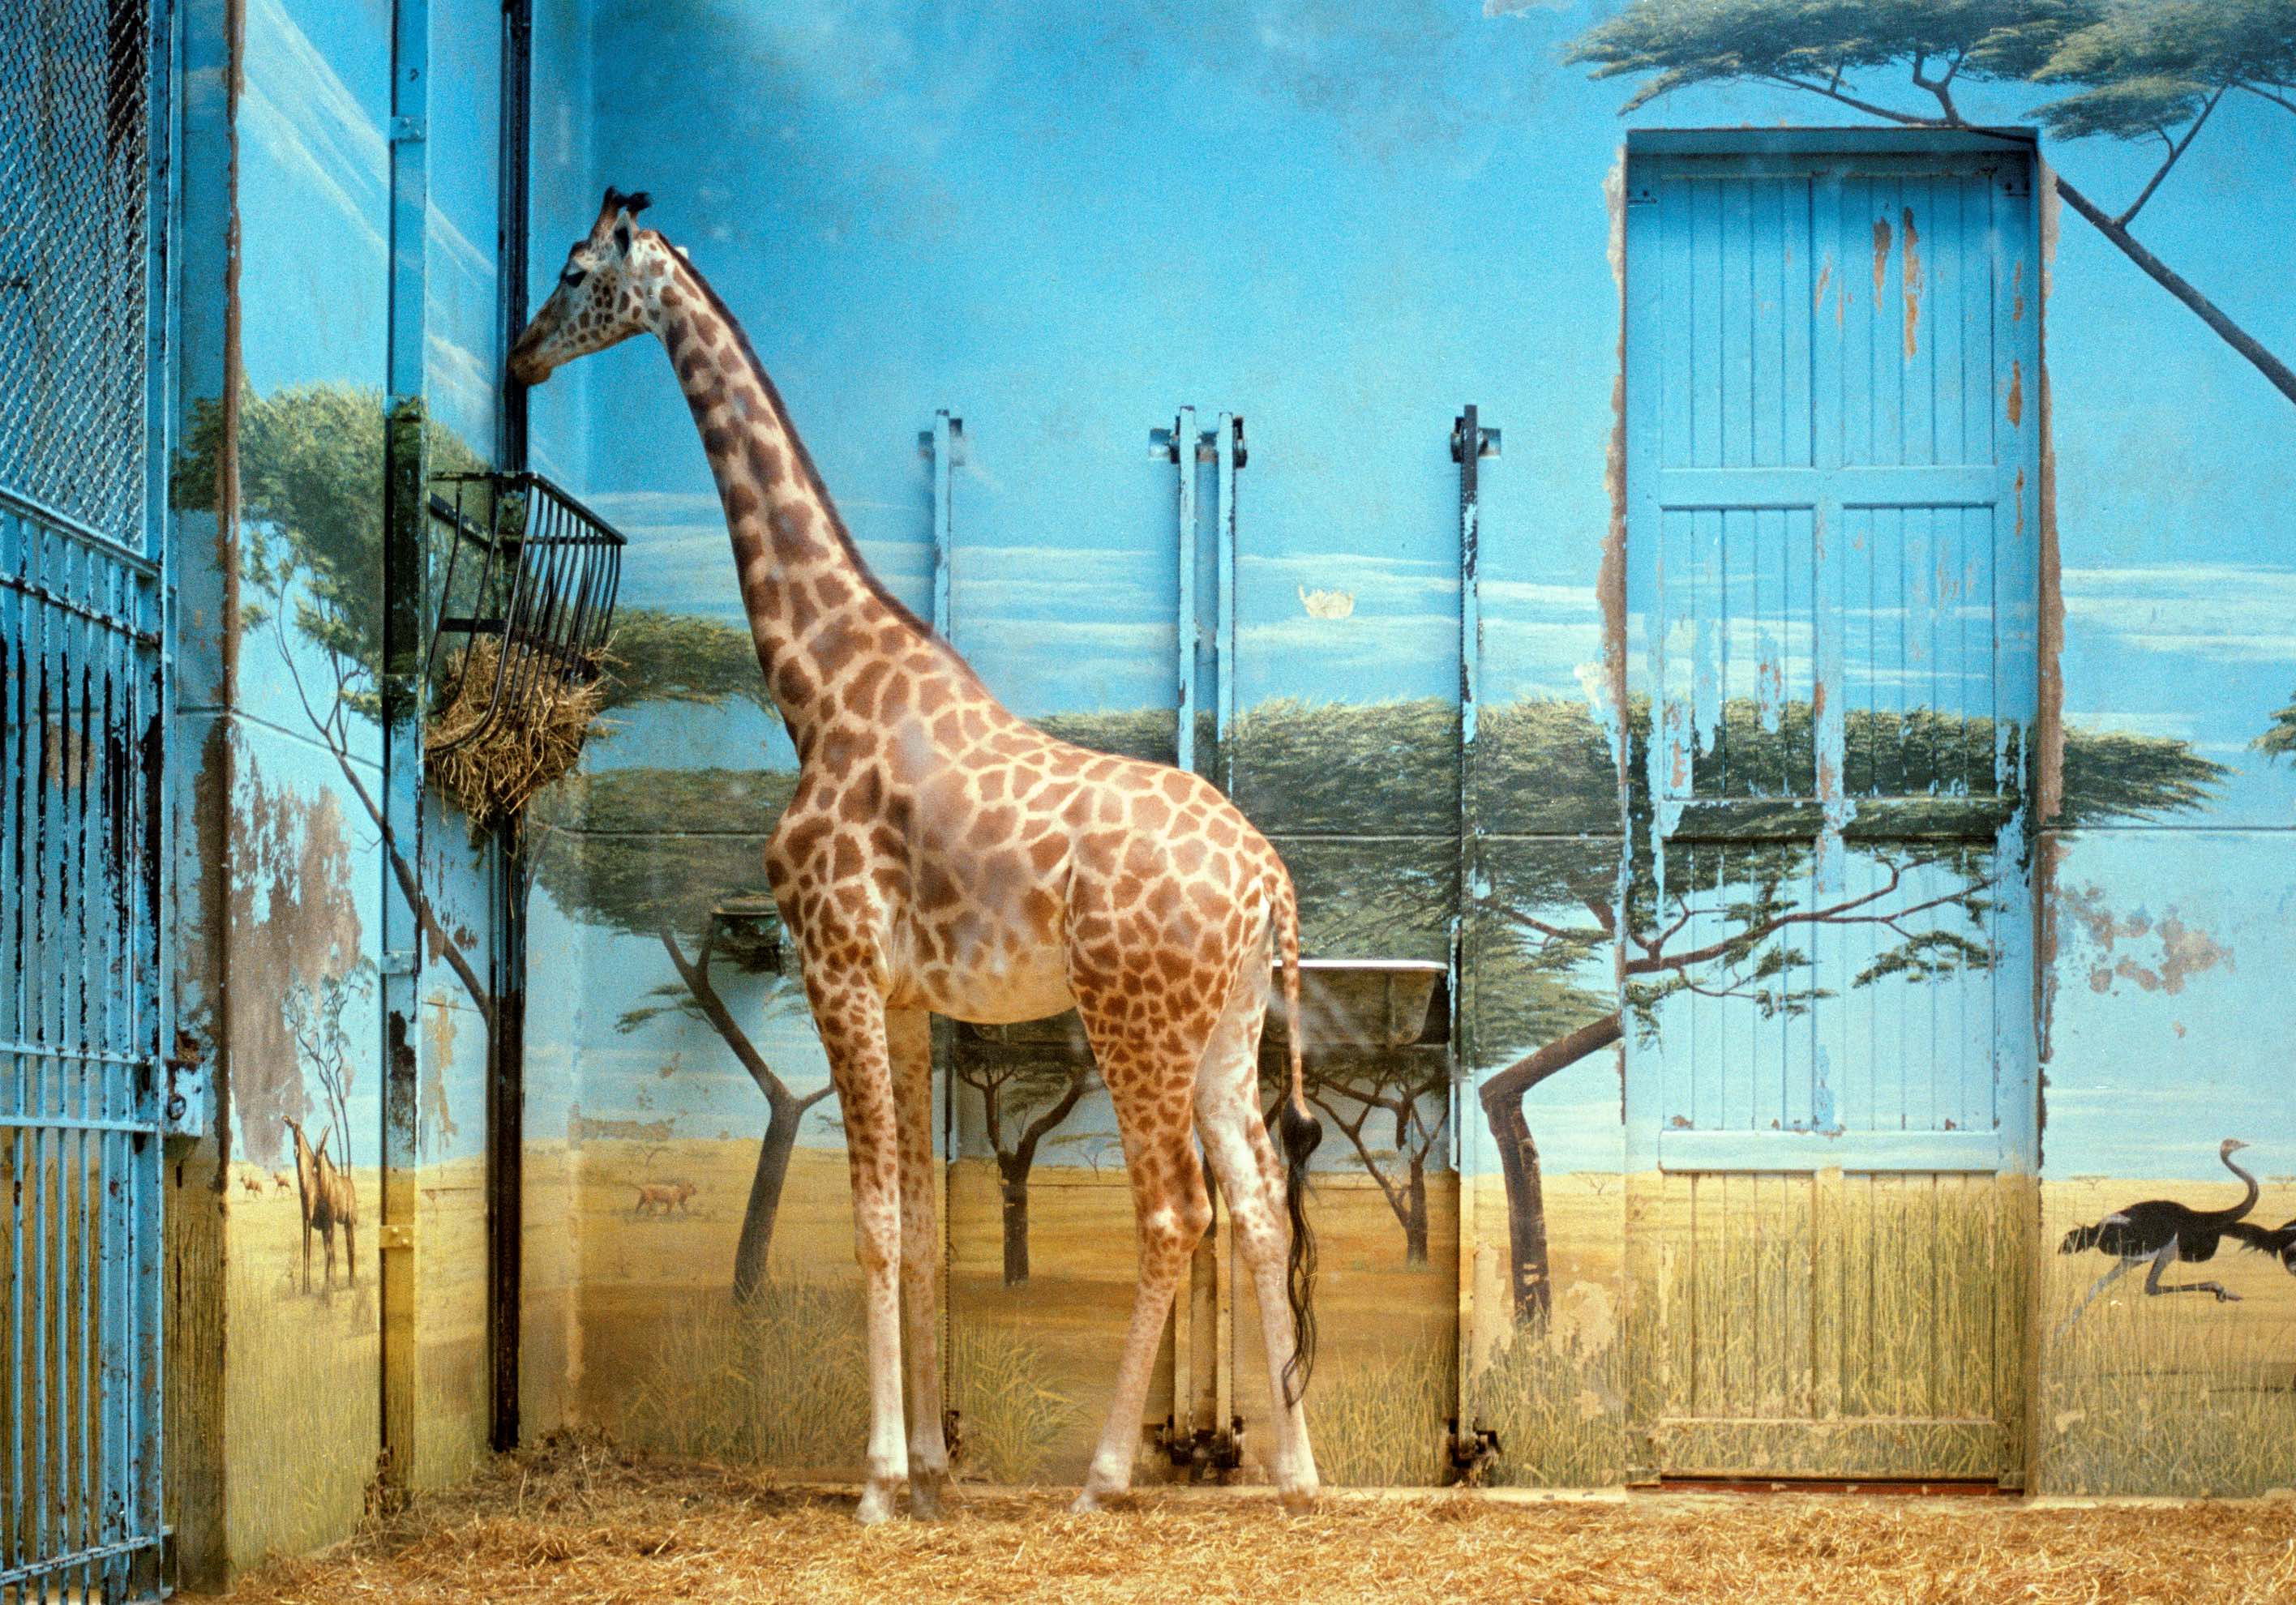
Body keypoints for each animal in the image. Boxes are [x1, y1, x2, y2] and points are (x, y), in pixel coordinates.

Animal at [507, 188, 1331, 1515]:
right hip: (1229, 1025)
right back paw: (1298, 1472)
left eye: (578, 270)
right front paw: (935, 1462)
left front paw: (882, 1479)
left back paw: (1106, 1474)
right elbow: (925, 1217)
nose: (524, 357)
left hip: (1135, 1021)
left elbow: (875, 1221)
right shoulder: (900, 994)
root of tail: (1270, 879)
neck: (819, 685)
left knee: (1174, 1213)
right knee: (1256, 1205)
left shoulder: (834, 963)